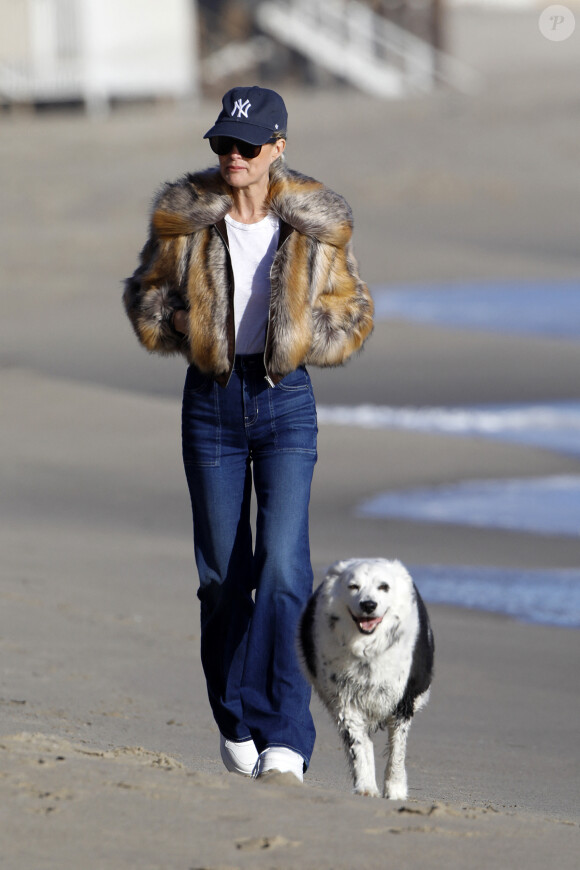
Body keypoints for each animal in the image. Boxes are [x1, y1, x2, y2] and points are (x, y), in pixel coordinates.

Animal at [302, 564, 432, 800]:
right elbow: (358, 744)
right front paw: (366, 786)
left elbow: (397, 748)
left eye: (384, 586)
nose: (369, 605)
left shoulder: (403, 700)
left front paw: (395, 789)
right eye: (353, 586)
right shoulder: (344, 699)